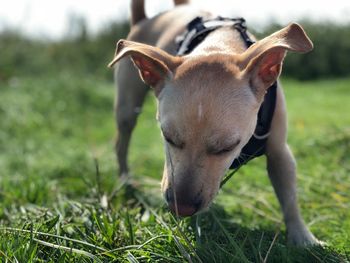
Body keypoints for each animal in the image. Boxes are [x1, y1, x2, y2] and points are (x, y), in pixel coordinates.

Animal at [109, 0, 320, 248]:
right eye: (167, 137)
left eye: (227, 147)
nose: (182, 208)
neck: (218, 46)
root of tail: (143, 20)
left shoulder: (280, 152)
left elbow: (289, 197)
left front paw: (302, 237)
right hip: (126, 109)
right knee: (121, 143)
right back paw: (125, 179)